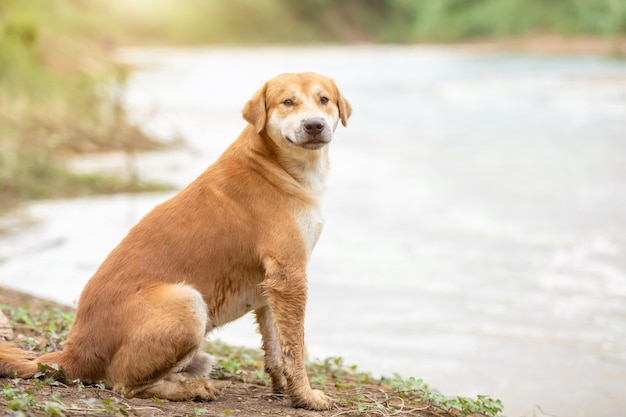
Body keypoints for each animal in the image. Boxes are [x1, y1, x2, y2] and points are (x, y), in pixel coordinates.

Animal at [0, 72, 352, 410]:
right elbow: (296, 348)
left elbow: (277, 348)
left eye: (324, 100)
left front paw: (285, 390)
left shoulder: (273, 284)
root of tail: (74, 351)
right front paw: (306, 397)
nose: (314, 125)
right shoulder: (289, 275)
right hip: (188, 302)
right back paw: (190, 389)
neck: (275, 165)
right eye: (287, 102)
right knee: (123, 383)